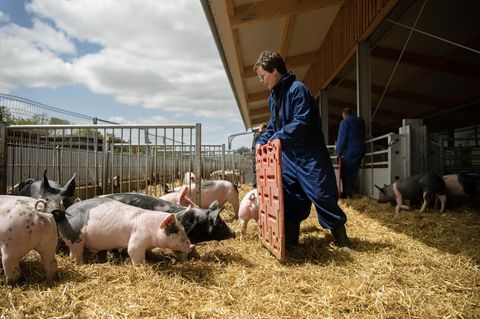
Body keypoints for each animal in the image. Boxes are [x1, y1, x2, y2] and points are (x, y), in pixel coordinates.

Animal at [57, 200, 190, 264]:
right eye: (175, 231)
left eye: (183, 229)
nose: (190, 245)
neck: (152, 227)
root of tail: (65, 213)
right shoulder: (137, 239)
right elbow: (133, 253)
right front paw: (143, 267)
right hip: (75, 237)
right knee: (78, 254)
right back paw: (82, 264)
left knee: (72, 254)